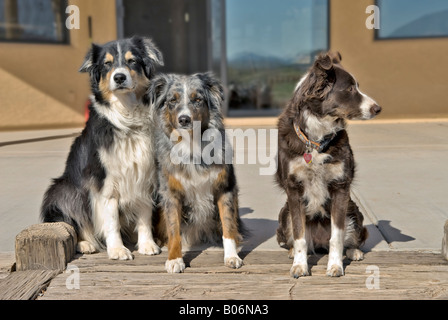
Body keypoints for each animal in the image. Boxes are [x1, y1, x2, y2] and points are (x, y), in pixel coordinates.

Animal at [41, 36, 164, 260]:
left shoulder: (143, 174)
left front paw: (147, 244)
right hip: (64, 189)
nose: (119, 77)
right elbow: (111, 220)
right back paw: (85, 243)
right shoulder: (104, 183)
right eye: (107, 64)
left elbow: (144, 215)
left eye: (132, 61)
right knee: (74, 218)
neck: (127, 119)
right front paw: (117, 249)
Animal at [276, 52, 382, 278]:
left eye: (357, 86)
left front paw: (335, 266)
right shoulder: (294, 189)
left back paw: (354, 252)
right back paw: (292, 251)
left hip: (354, 213)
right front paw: (300, 266)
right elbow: (299, 236)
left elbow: (337, 237)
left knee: (351, 239)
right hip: (284, 214)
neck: (316, 139)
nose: (378, 108)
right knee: (299, 239)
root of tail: (319, 241)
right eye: (350, 89)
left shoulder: (340, 187)